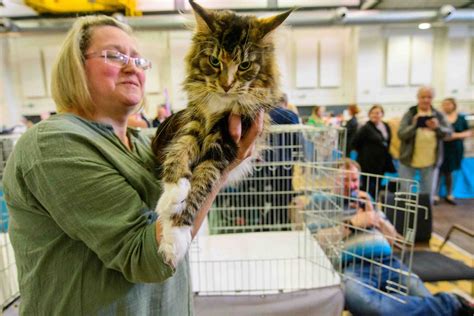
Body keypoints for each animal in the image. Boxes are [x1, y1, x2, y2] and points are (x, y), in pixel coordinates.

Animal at [152, 0, 292, 266]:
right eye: (215, 61)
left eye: (244, 65)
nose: (226, 85)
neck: (220, 104)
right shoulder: (195, 120)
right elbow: (179, 153)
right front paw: (172, 194)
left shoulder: (225, 140)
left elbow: (201, 184)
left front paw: (175, 237)